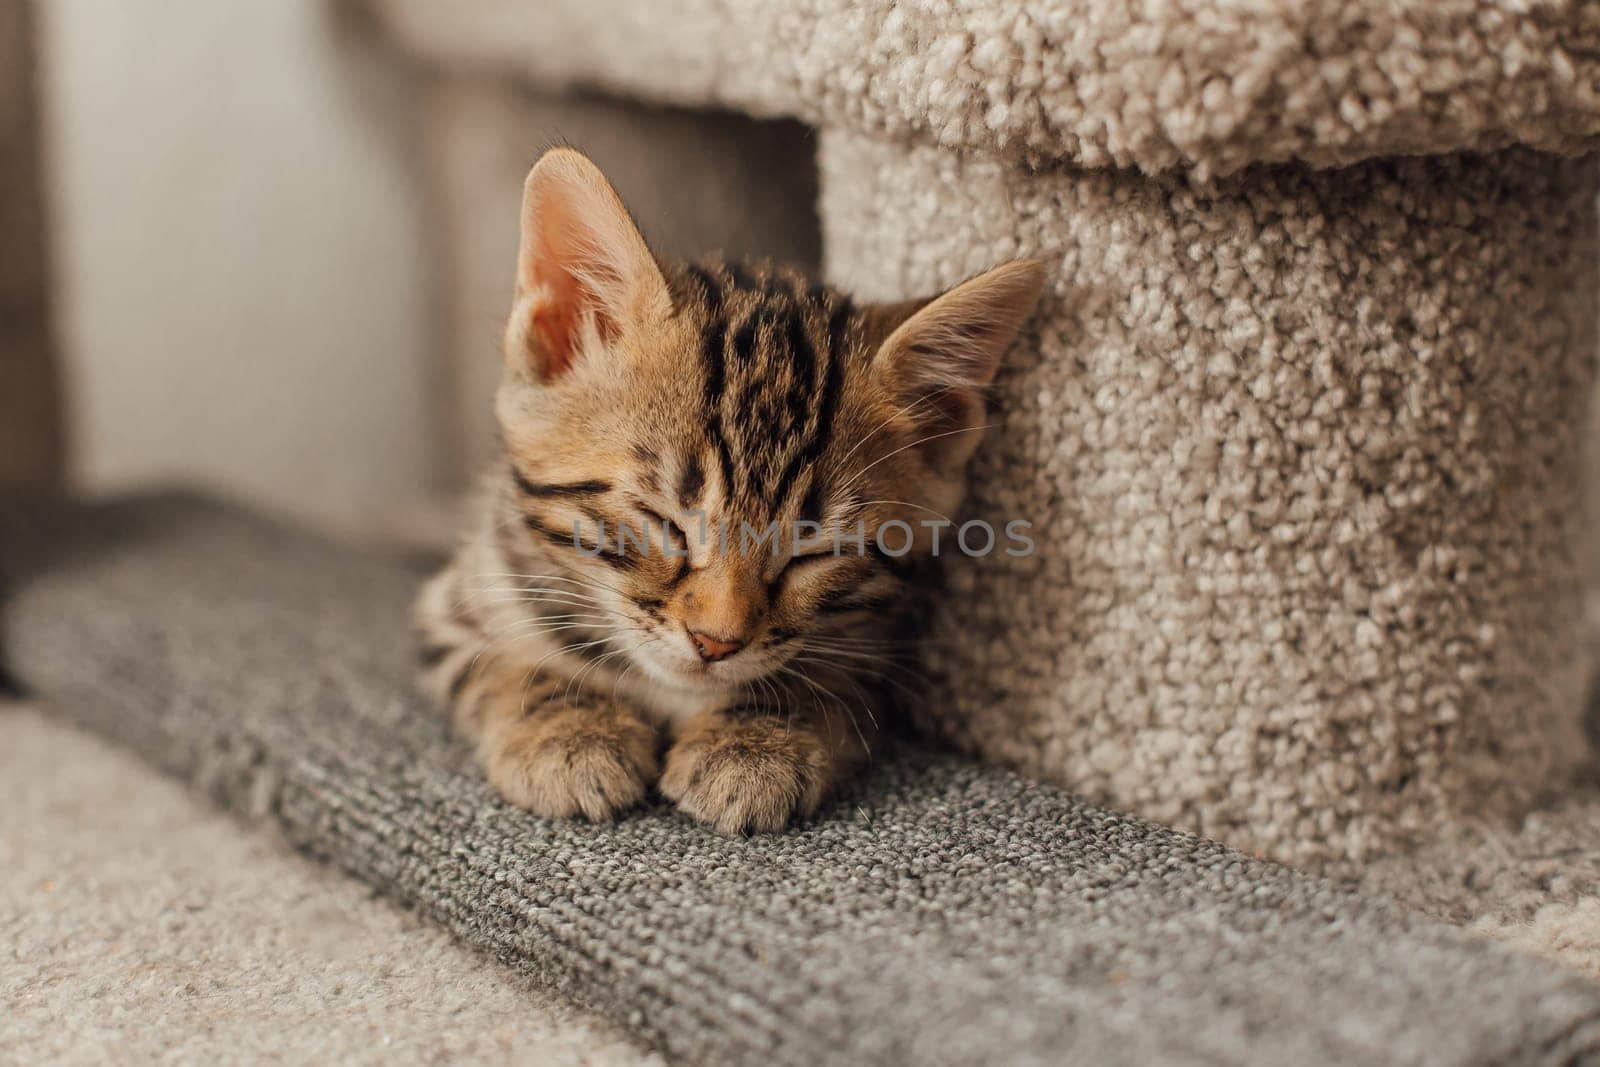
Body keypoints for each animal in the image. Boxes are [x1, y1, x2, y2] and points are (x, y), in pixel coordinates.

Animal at [412, 147, 1043, 831]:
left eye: (813, 552)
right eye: (662, 521)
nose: (715, 644)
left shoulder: (877, 648)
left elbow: (821, 679)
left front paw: (754, 744)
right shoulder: (452, 609)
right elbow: (507, 665)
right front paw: (568, 731)